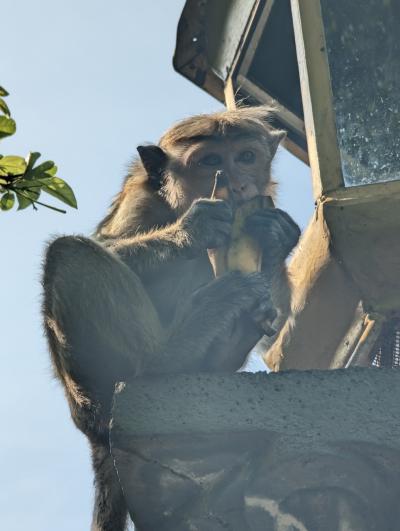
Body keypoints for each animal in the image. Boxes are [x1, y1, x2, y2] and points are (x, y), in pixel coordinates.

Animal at [43, 105, 300, 531]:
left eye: (246, 157)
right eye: (211, 162)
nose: (238, 185)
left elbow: (276, 325)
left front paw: (278, 236)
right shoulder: (140, 201)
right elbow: (105, 244)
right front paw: (194, 229)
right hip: (89, 386)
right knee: (69, 253)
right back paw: (168, 355)